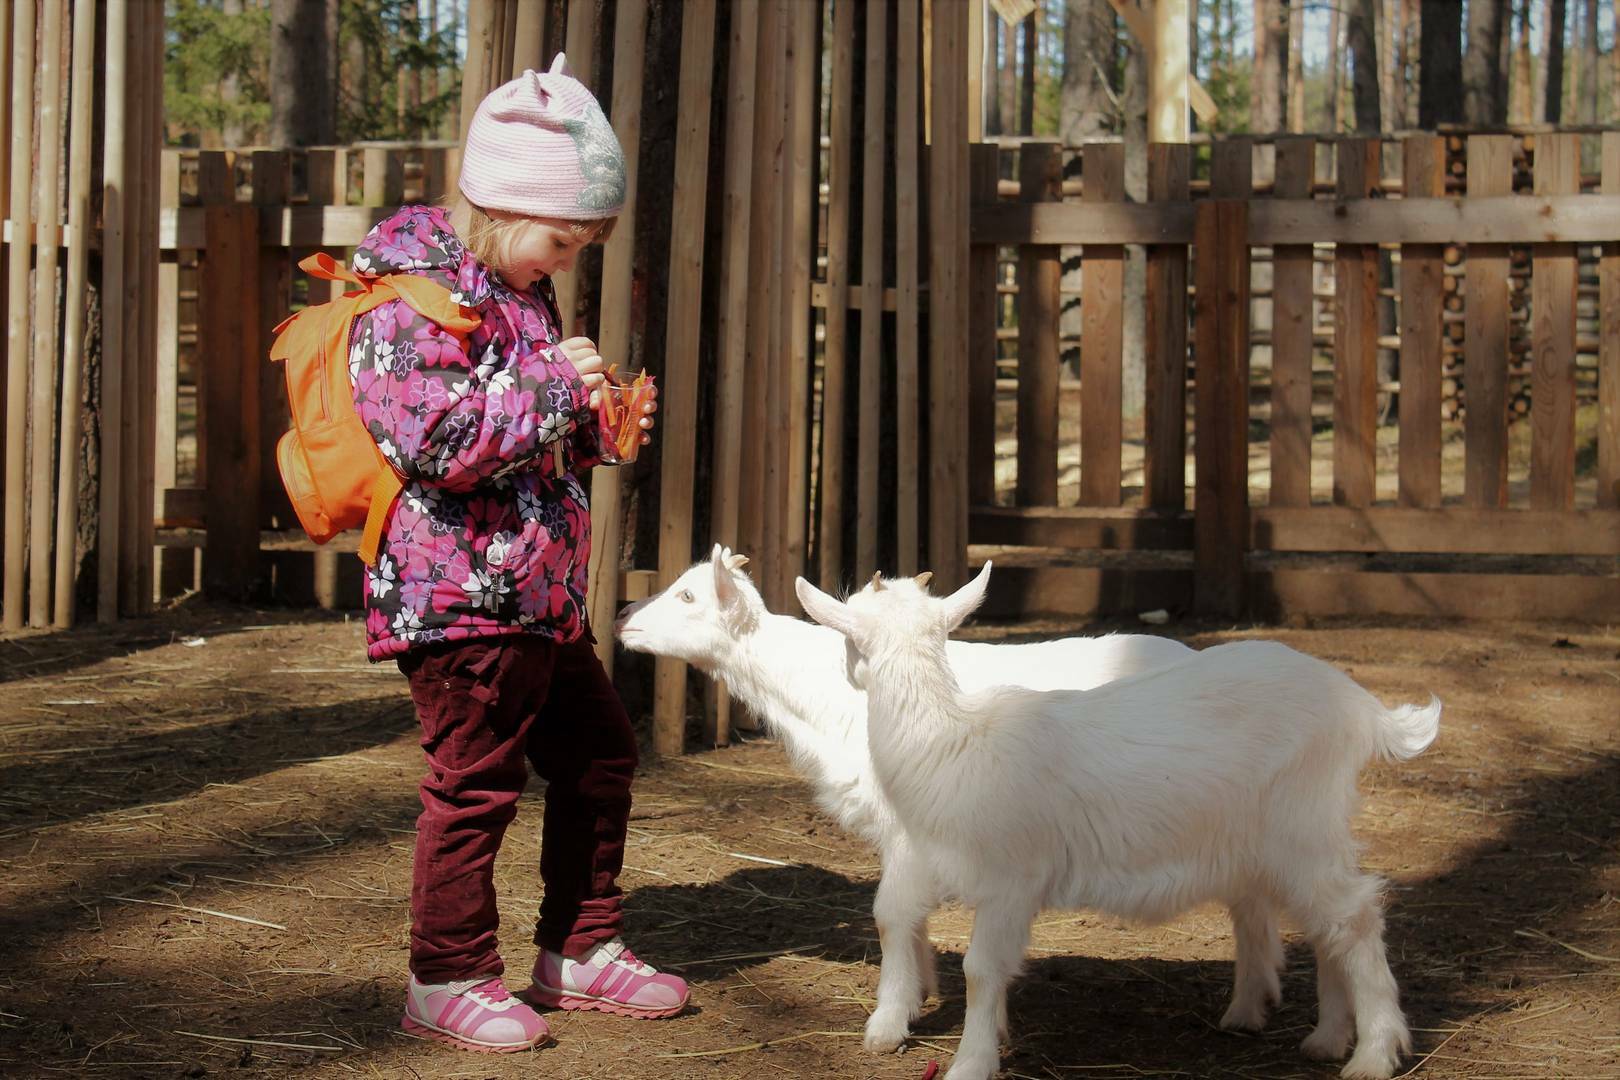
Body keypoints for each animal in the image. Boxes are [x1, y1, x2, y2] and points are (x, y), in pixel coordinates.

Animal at [609, 544, 1192, 1049]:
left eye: (688, 596)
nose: (622, 617)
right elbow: (910, 913)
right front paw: (921, 990)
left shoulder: (912, 823)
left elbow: (890, 913)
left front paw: (889, 1020)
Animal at [797, 566, 1445, 1080]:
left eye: (847, 640)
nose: (843, 673)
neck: (951, 737)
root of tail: (1362, 708)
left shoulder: (1011, 878)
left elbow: (981, 969)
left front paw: (970, 1064)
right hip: (1289, 843)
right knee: (1327, 926)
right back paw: (1326, 1039)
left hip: (1302, 827)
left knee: (1355, 917)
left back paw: (1373, 1054)